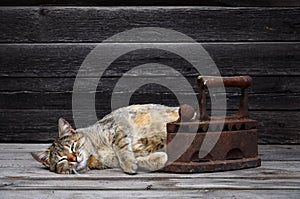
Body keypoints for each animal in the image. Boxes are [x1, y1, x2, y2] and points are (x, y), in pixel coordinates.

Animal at [31, 104, 197, 174]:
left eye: (73, 146)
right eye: (62, 159)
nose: (74, 158)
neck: (96, 153)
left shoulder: (117, 127)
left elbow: (121, 147)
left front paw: (129, 163)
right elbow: (139, 159)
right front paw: (150, 160)